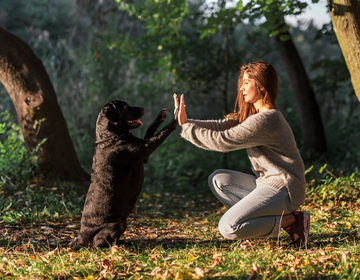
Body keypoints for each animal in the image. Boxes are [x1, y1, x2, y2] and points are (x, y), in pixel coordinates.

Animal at [70, 99, 177, 248]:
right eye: (125, 107)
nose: (143, 108)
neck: (111, 136)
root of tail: (81, 237)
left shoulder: (145, 156)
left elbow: (150, 129)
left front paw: (161, 115)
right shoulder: (146, 147)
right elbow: (162, 132)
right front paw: (175, 118)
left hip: (123, 222)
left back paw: (123, 242)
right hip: (115, 224)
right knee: (96, 244)